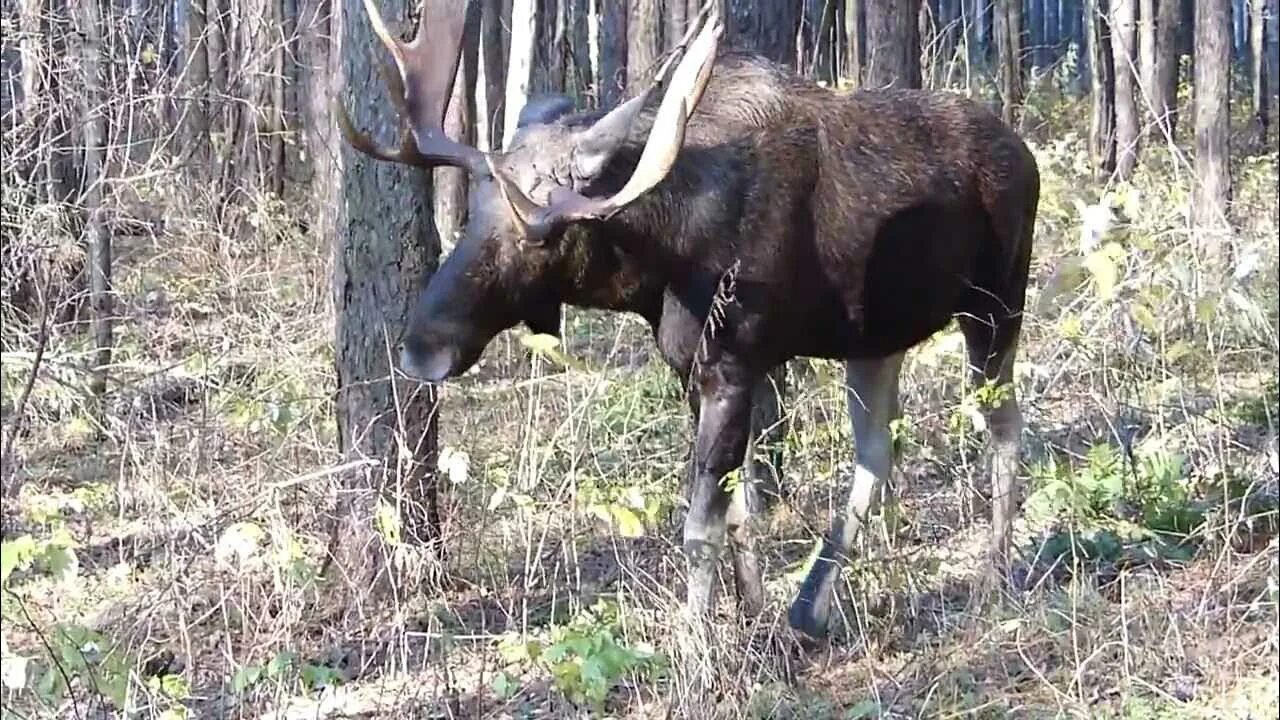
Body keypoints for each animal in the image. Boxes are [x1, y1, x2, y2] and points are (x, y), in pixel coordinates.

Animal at [337, 2, 1039, 635]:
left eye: (540, 238)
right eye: (476, 208)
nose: (422, 346)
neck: (662, 261)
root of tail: (1025, 150)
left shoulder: (733, 362)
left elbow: (703, 522)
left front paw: (698, 649)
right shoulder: (689, 368)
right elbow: (740, 513)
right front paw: (751, 614)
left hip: (995, 305)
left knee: (1005, 424)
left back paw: (992, 576)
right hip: (875, 340)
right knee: (877, 450)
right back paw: (810, 608)